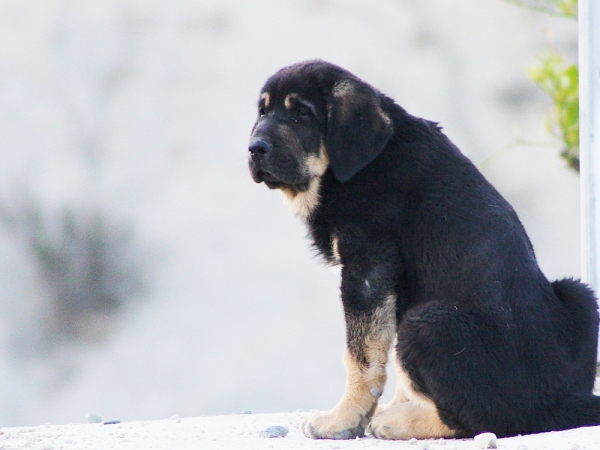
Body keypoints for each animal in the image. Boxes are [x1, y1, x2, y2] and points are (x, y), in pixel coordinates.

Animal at [247, 59, 600, 440]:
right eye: (263, 111)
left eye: (302, 113)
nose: (255, 148)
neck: (361, 162)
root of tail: (554, 404)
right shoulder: (394, 286)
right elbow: (390, 358)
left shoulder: (367, 266)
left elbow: (360, 355)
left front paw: (342, 420)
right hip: (580, 293)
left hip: (428, 321)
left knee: (482, 420)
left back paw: (398, 422)